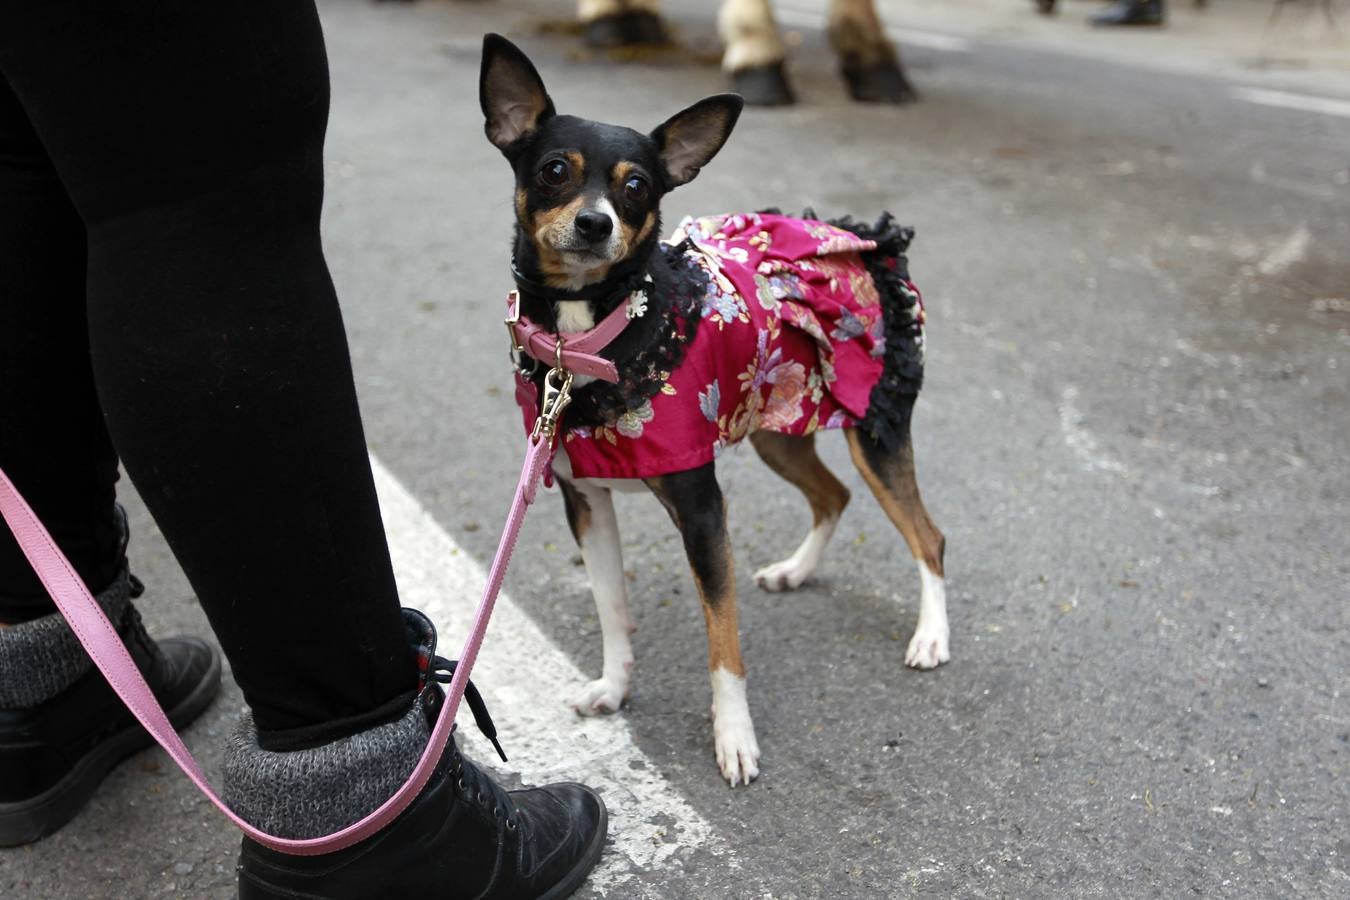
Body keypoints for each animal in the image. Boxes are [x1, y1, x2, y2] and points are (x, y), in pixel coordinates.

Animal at [480, 31, 945, 782]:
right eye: (553, 170)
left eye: (636, 186)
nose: (594, 222)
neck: (596, 340)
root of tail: (855, 236)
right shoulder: (586, 500)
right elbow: (612, 608)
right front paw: (615, 688)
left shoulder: (702, 509)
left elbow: (722, 639)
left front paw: (734, 739)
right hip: (776, 428)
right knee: (834, 496)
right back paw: (796, 570)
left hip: (874, 428)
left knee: (927, 537)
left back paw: (931, 636)